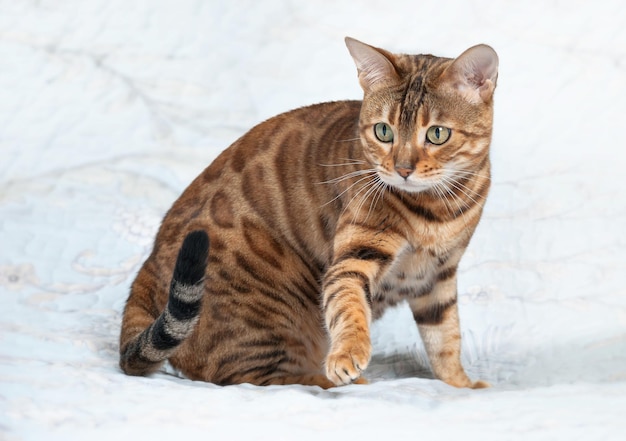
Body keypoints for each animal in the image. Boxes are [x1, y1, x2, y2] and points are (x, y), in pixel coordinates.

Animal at [117, 37, 498, 388]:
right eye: (383, 131)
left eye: (437, 134)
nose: (403, 169)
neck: (438, 209)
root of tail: (145, 275)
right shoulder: (353, 257)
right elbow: (348, 304)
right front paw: (348, 354)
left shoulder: (438, 277)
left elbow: (445, 338)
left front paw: (461, 385)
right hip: (269, 316)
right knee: (253, 378)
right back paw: (333, 379)